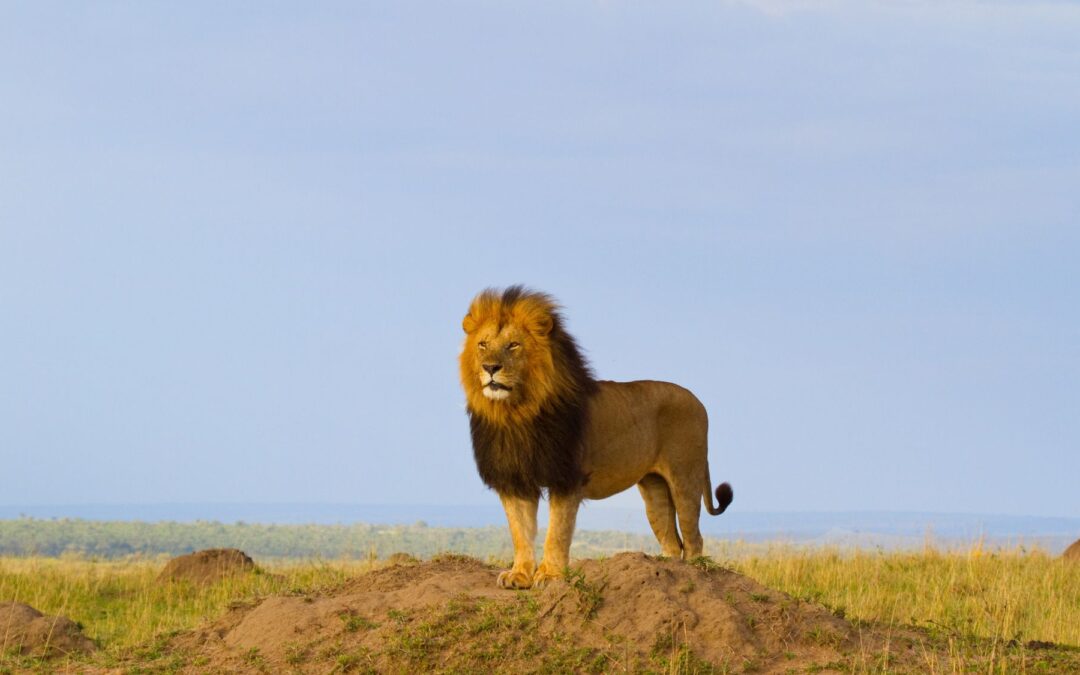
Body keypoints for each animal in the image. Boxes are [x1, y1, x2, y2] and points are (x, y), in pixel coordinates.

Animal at [460, 286, 733, 589]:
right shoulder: (514, 480)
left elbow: (556, 532)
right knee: (672, 541)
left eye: (513, 345)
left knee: (694, 538)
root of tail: (697, 400)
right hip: (655, 489)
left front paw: (550, 575)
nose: (490, 367)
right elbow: (520, 532)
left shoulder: (566, 478)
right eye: (483, 344)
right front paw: (519, 575)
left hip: (685, 477)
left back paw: (694, 577)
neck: (516, 414)